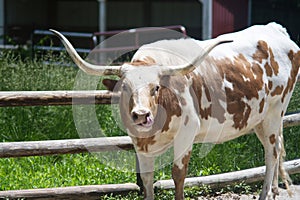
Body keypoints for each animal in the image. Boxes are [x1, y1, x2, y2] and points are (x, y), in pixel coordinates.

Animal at [51, 22, 300, 200]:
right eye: (125, 88)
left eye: (156, 88)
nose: (141, 115)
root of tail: (275, 30)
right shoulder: (139, 142)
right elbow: (147, 178)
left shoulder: (186, 134)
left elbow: (178, 175)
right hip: (260, 119)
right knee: (274, 148)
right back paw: (274, 192)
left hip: (274, 113)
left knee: (272, 152)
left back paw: (265, 194)